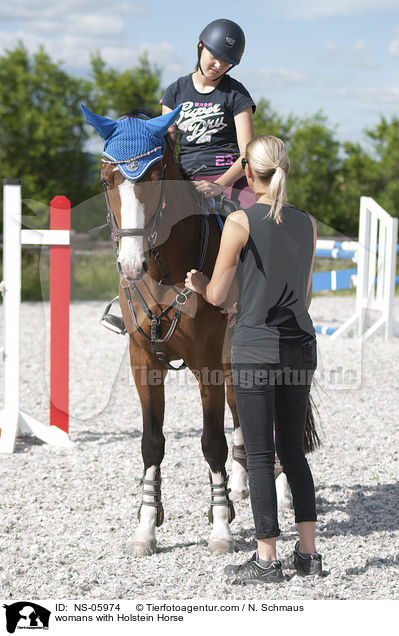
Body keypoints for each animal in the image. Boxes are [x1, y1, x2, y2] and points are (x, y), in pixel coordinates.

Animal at [81, 104, 318, 556]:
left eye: (157, 178)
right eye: (106, 181)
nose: (131, 264)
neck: (165, 271)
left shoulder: (207, 365)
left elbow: (211, 442)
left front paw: (221, 525)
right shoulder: (144, 364)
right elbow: (152, 443)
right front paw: (146, 526)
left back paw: (277, 489)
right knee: (242, 416)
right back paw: (243, 484)